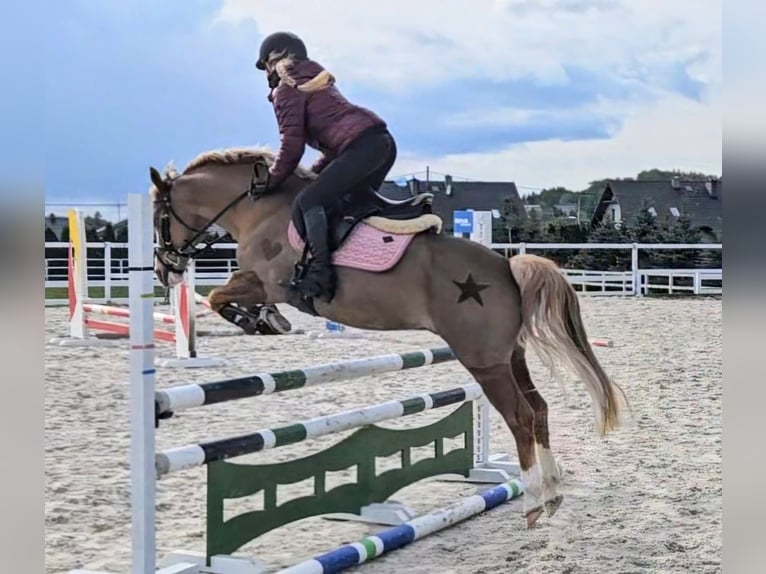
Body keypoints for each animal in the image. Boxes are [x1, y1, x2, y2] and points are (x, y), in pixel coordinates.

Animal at [148, 146, 627, 528]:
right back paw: (553, 491)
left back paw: (531, 504)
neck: (261, 209)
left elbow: (218, 296)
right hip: (510, 356)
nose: (163, 268)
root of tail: (506, 267)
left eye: (159, 218)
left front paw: (258, 320)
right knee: (539, 409)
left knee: (521, 417)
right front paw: (265, 319)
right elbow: (222, 296)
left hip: (484, 362)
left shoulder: (268, 283)